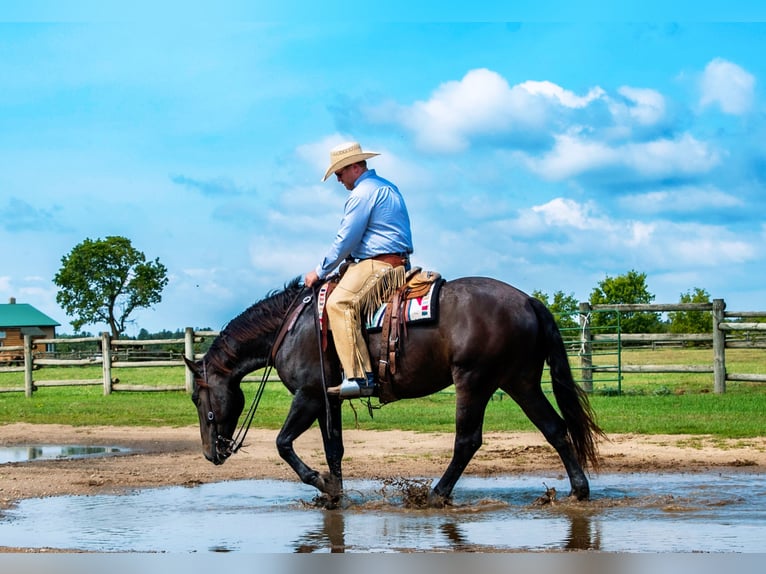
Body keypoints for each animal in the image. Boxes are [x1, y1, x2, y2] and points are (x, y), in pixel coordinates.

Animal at [186, 280, 608, 508]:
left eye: (197, 398)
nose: (209, 454)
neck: (293, 325)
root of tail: (528, 301)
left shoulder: (307, 396)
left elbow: (283, 443)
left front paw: (321, 483)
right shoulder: (328, 400)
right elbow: (334, 449)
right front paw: (335, 494)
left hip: (474, 382)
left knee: (467, 440)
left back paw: (436, 494)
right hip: (520, 382)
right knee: (554, 429)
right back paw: (579, 491)